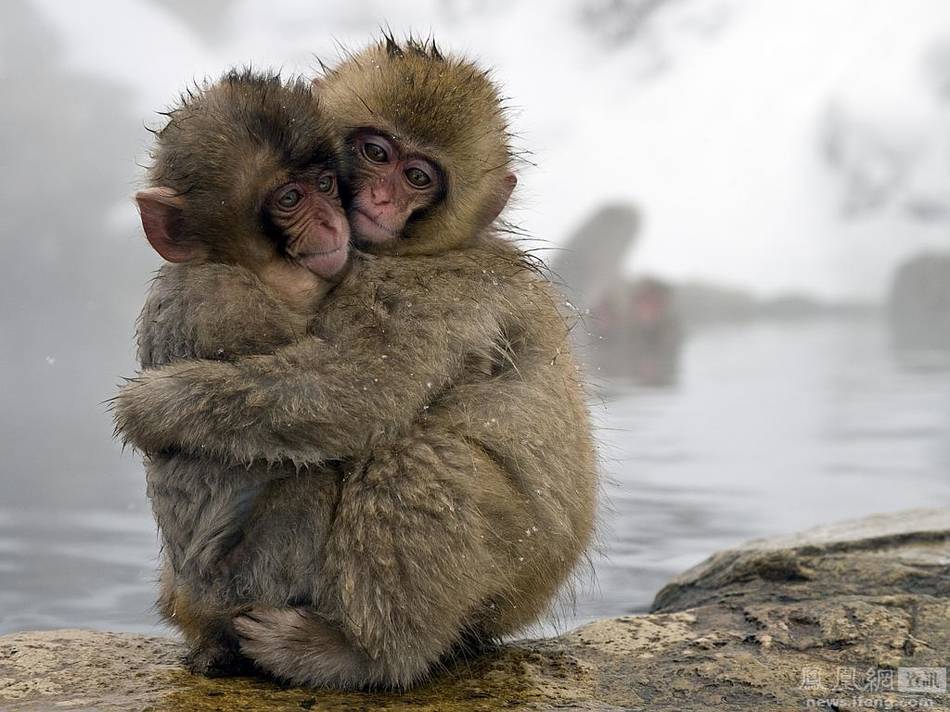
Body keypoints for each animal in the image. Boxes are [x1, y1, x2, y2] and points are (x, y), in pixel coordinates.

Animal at [115, 37, 600, 688]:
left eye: (417, 177)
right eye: (376, 153)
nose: (380, 198)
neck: (427, 249)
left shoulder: (424, 289)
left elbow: (358, 389)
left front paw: (152, 404)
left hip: (516, 565)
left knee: (417, 458)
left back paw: (360, 655)